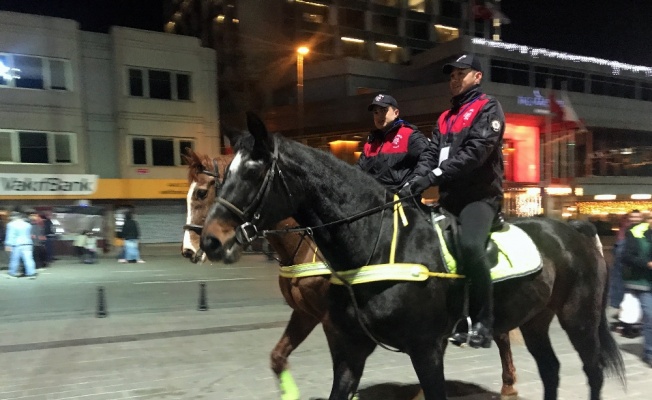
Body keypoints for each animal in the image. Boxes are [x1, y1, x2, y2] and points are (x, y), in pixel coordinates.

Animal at [200, 112, 628, 400]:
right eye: (222, 177)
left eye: (253, 172)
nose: (210, 241)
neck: (376, 244)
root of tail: (577, 230)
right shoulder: (350, 349)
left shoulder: (427, 350)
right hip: (536, 319)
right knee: (551, 369)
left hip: (578, 317)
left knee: (592, 371)